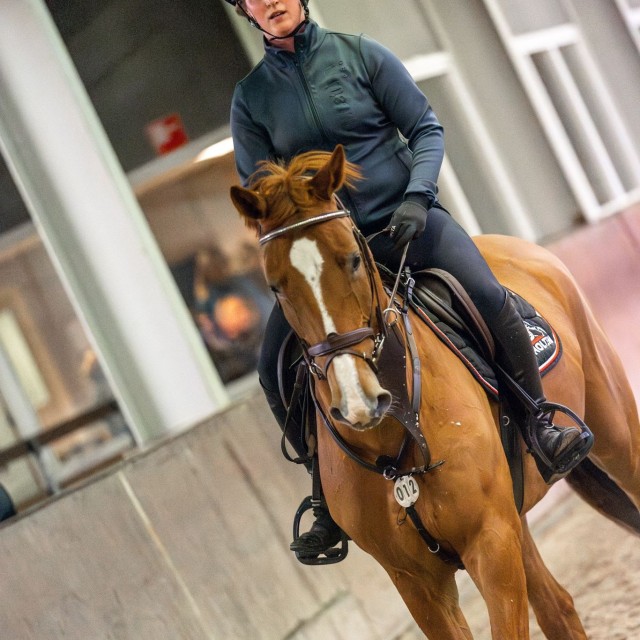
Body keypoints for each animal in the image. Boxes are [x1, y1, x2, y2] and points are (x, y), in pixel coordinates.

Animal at [229, 144, 640, 639]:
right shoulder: (416, 581)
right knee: (556, 606)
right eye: (275, 285)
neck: (396, 441)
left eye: (351, 259)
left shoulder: (490, 542)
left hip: (614, 432)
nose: (358, 401)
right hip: (515, 515)